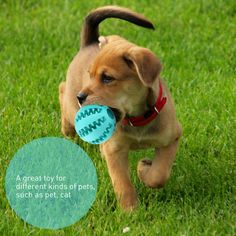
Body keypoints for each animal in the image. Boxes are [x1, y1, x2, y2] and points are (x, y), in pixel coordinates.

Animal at [59, 6, 183, 211]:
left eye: (107, 78)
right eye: (90, 75)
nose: (81, 97)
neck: (137, 118)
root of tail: (89, 43)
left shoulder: (172, 137)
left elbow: (159, 174)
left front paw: (144, 169)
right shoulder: (115, 149)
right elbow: (122, 183)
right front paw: (131, 211)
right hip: (71, 106)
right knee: (62, 89)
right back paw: (67, 130)